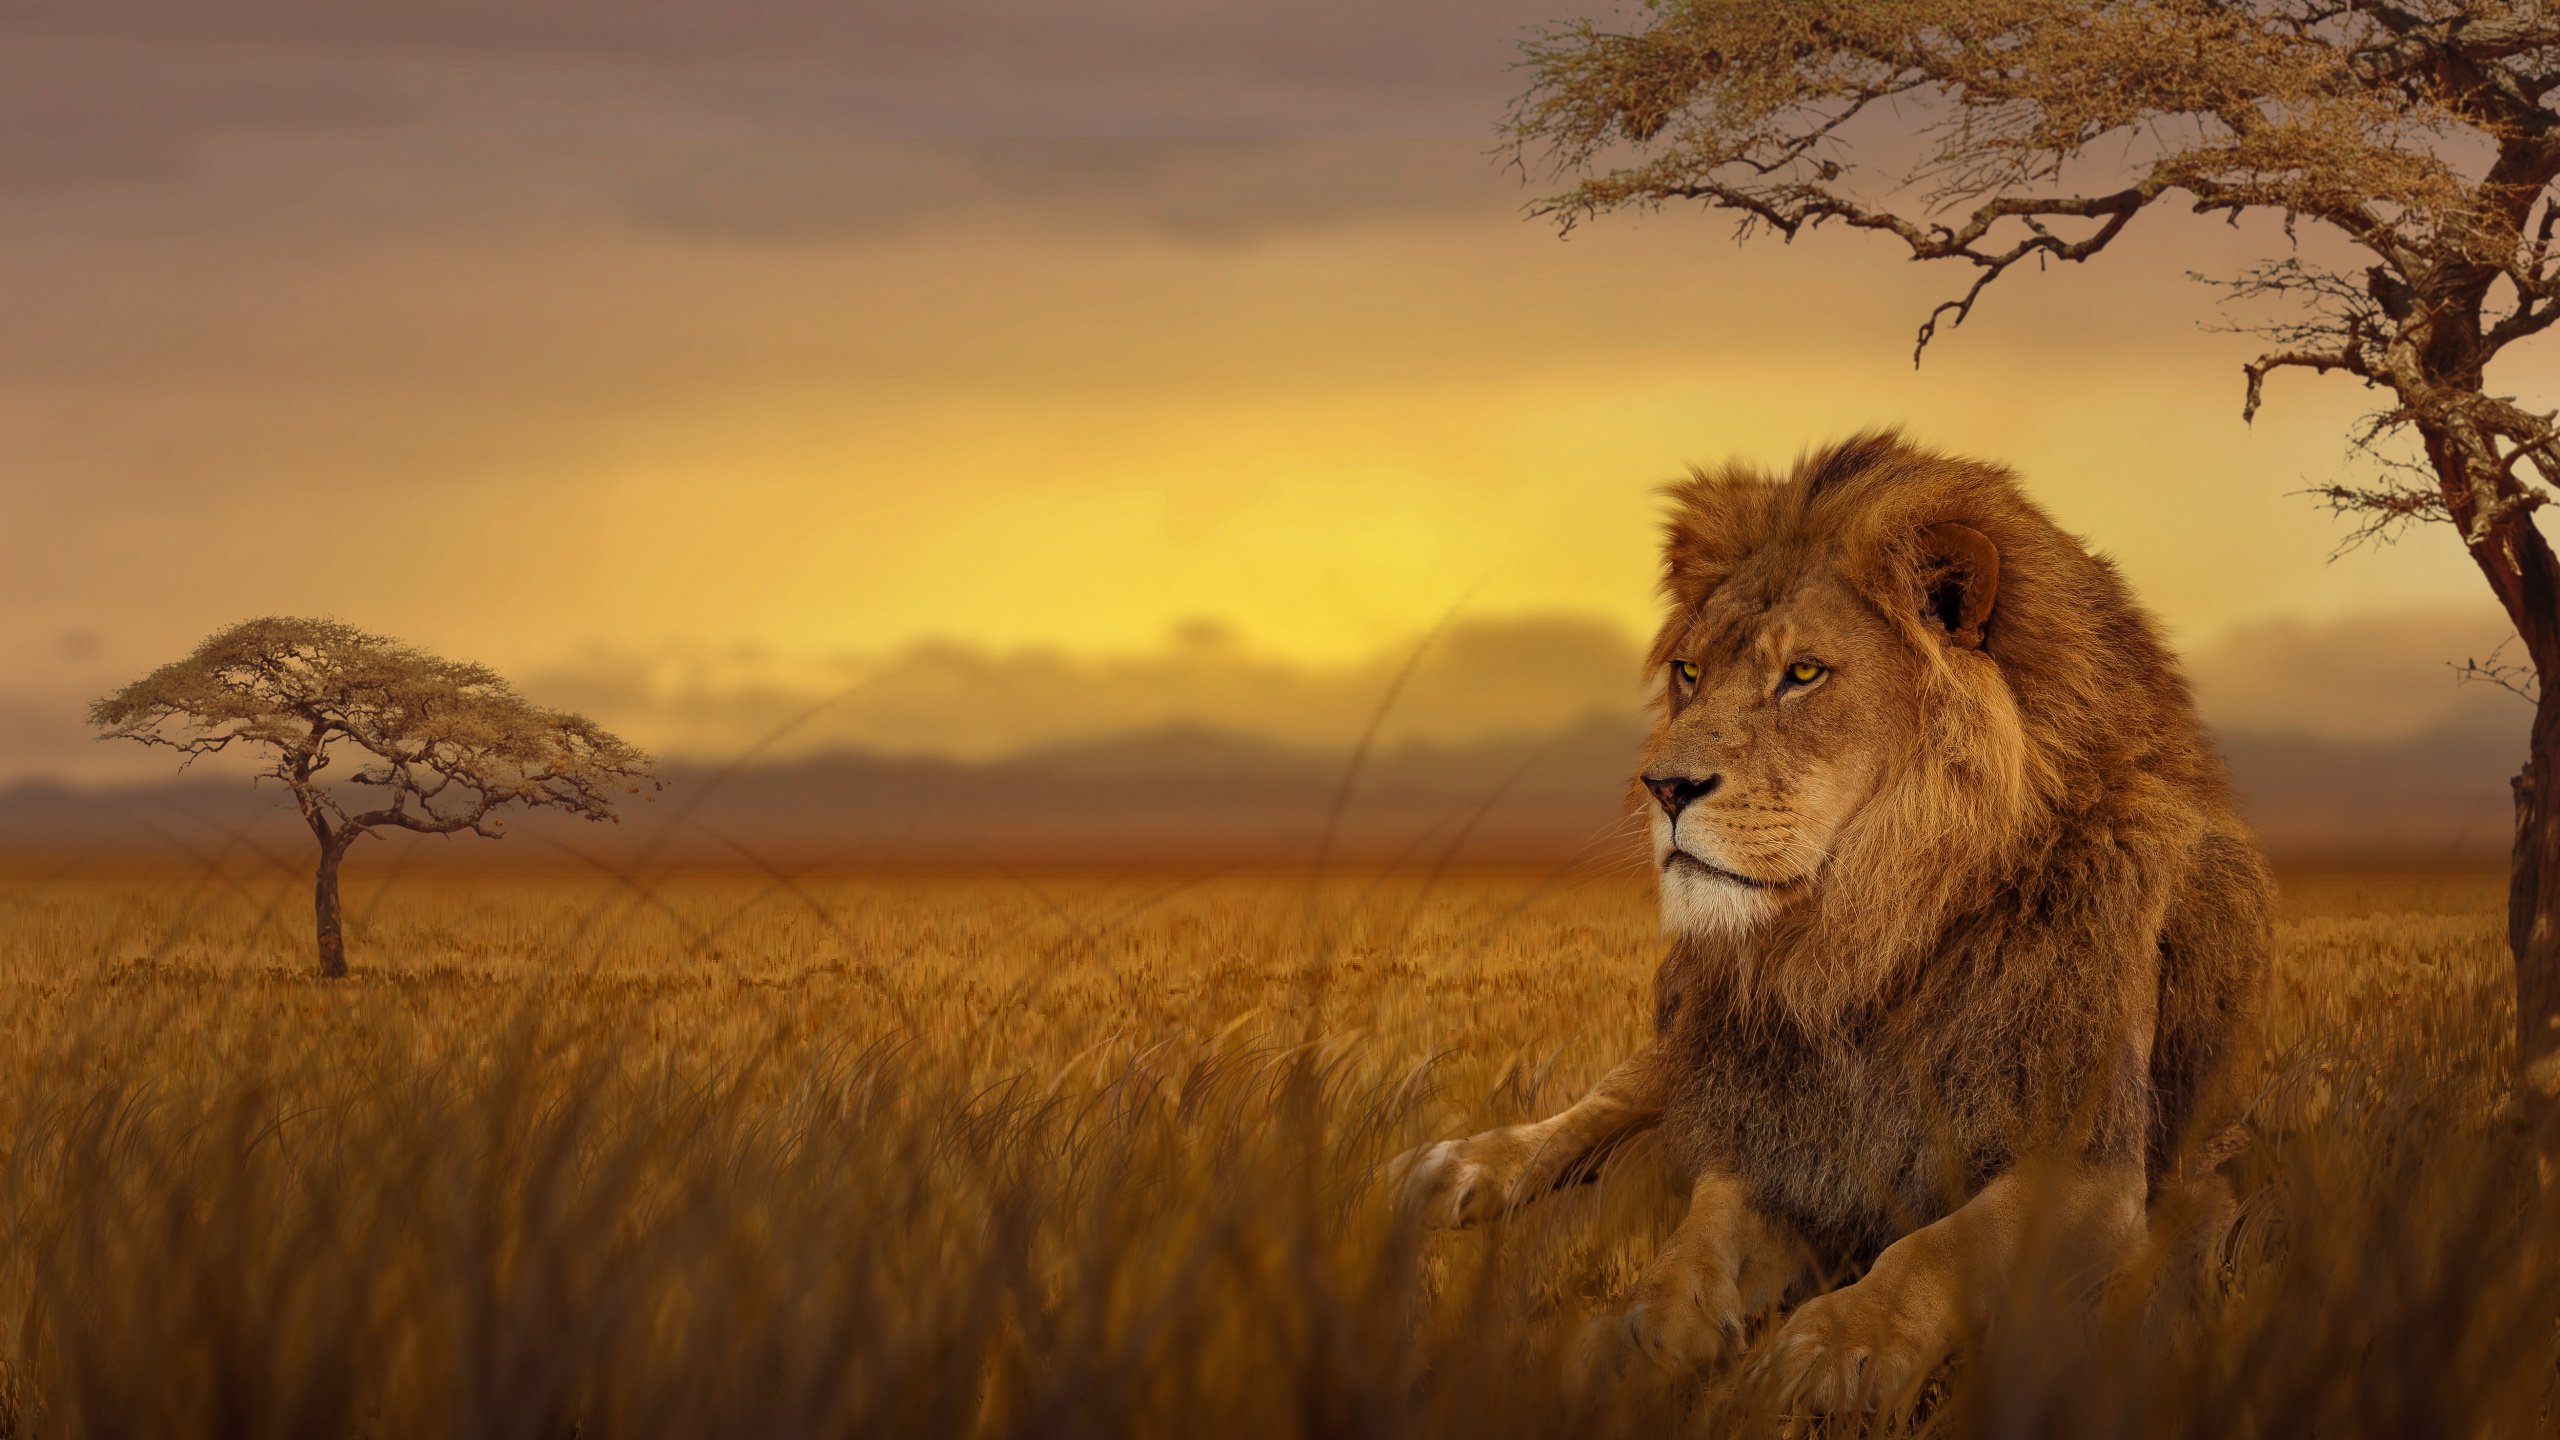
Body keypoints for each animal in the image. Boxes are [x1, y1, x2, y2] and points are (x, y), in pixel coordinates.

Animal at [1396, 431, 2272, 1412]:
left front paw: (1837, 1345)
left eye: (1803, 674)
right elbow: (1695, 1242)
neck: (1869, 940)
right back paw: (1463, 1169)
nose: (1662, 788)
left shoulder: (2092, 1162)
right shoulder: (1776, 1123)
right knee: (1612, 1098)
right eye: (1690, 671)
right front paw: (1636, 1336)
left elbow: (1940, 1245)